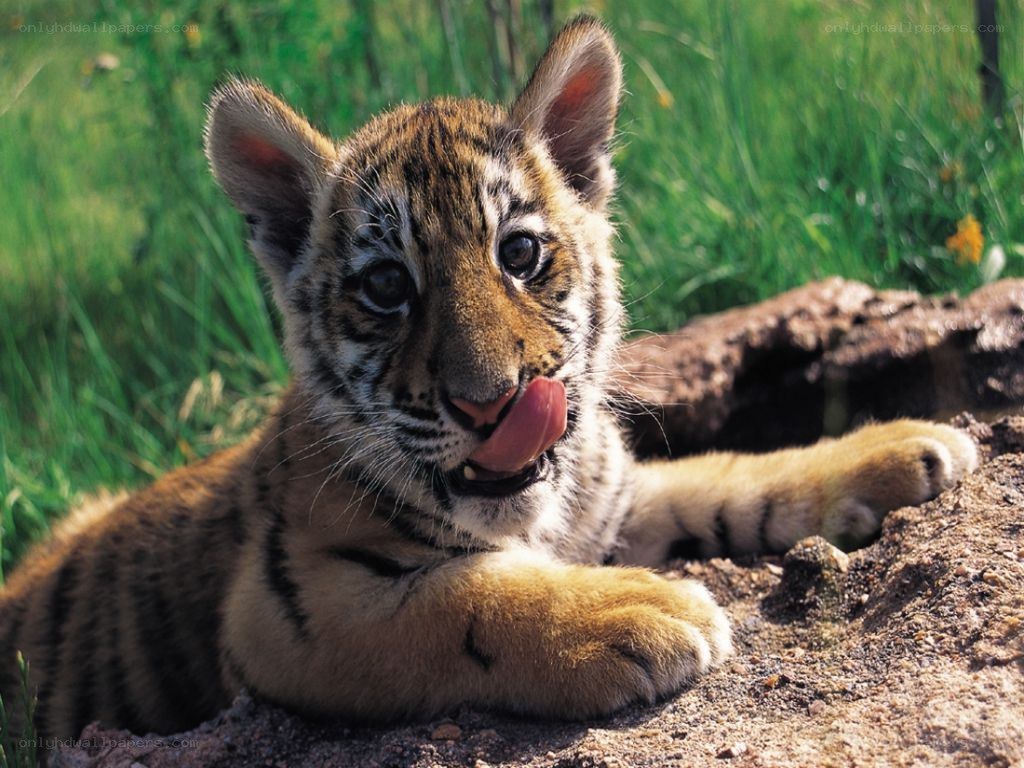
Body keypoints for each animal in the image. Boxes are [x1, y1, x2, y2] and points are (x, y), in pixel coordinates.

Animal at [0, 16, 978, 741]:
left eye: (520, 254)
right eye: (386, 286)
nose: (492, 403)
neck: (545, 513)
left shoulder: (613, 498)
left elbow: (731, 475)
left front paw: (906, 448)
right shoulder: (288, 608)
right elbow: (463, 597)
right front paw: (637, 609)